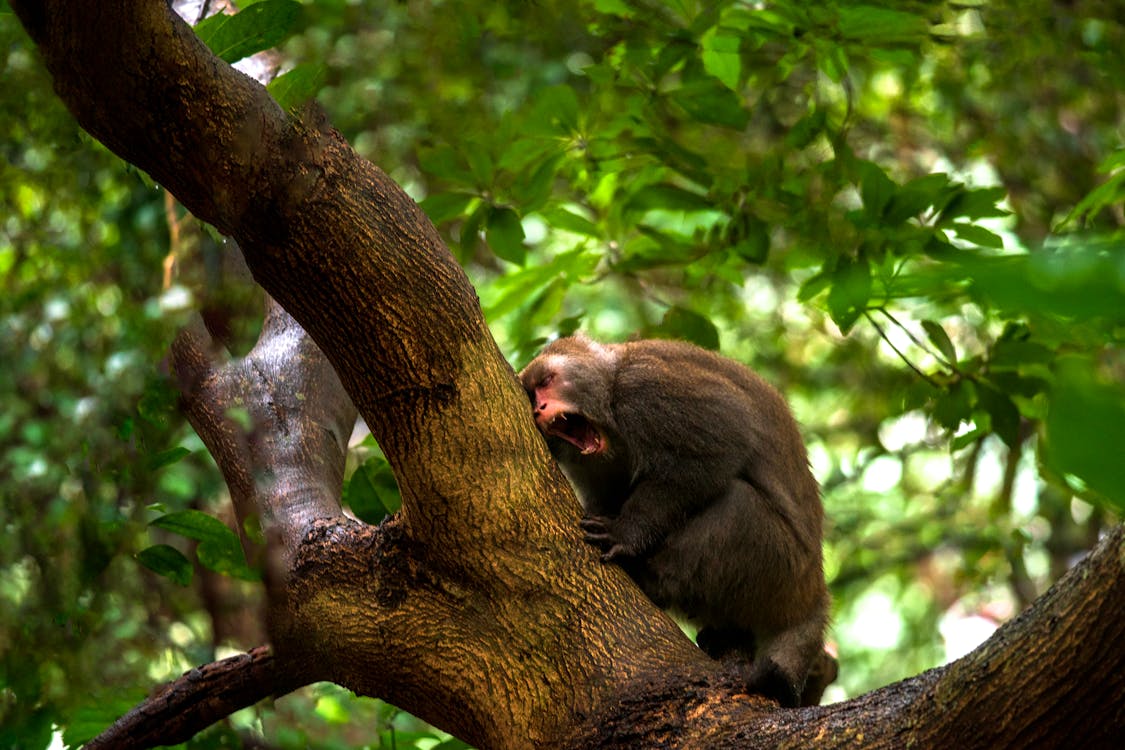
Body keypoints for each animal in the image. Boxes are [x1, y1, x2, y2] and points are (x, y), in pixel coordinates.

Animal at [519, 337, 837, 706]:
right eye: (532, 394)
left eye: (547, 381)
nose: (540, 408)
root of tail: (815, 588)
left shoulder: (647, 391)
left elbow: (717, 448)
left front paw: (625, 533)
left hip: (780, 567)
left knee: (738, 504)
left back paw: (650, 579)